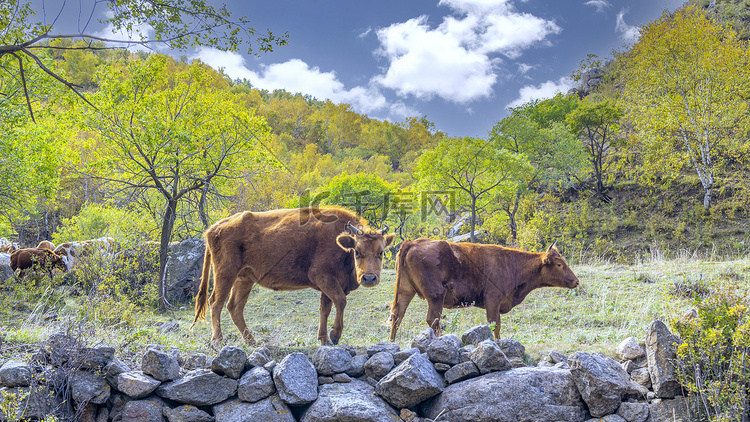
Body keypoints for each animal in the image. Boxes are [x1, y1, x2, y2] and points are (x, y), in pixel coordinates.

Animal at [191, 207, 396, 346]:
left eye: (380, 252)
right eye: (357, 252)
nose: (368, 278)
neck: (340, 242)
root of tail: (215, 227)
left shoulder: (328, 285)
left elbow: (325, 308)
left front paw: (323, 338)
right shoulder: (323, 278)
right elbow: (340, 301)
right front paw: (335, 335)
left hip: (244, 279)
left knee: (234, 307)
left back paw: (252, 341)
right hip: (225, 274)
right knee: (216, 303)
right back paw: (218, 340)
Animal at [390, 239, 580, 342]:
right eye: (559, 264)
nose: (576, 281)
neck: (512, 264)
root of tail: (413, 242)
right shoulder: (493, 300)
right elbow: (494, 324)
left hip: (405, 291)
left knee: (397, 316)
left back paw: (392, 342)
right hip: (436, 297)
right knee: (432, 320)